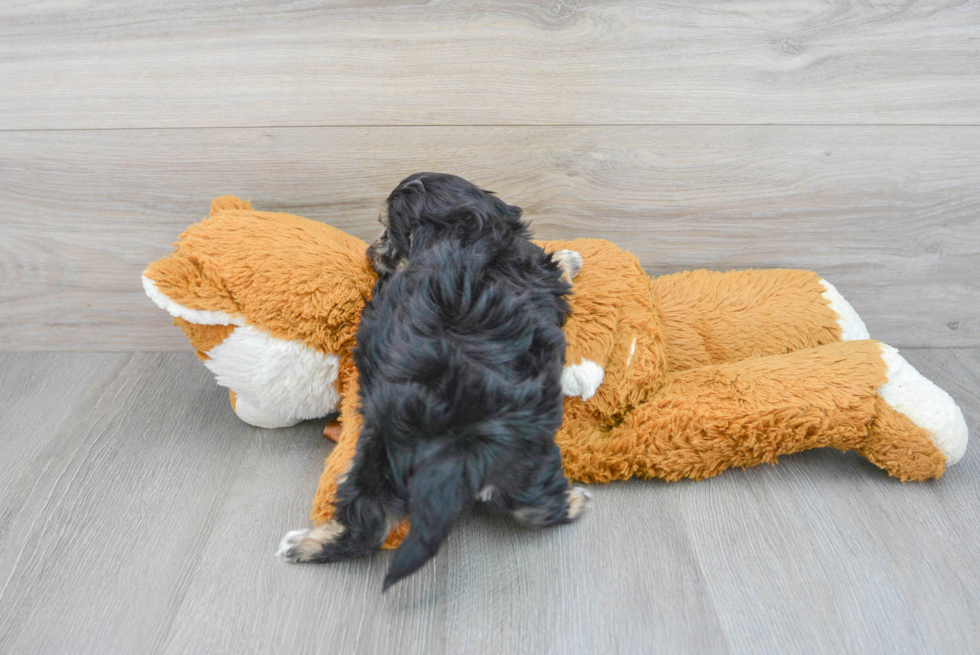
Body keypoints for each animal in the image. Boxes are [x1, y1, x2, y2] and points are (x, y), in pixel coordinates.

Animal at [276, 173, 588, 588]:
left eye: (386, 231)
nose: (369, 252)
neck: (463, 232)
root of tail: (453, 439)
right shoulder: (541, 272)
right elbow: (558, 266)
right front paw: (571, 256)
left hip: (377, 453)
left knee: (368, 523)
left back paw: (303, 545)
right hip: (526, 450)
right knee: (532, 506)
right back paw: (573, 502)